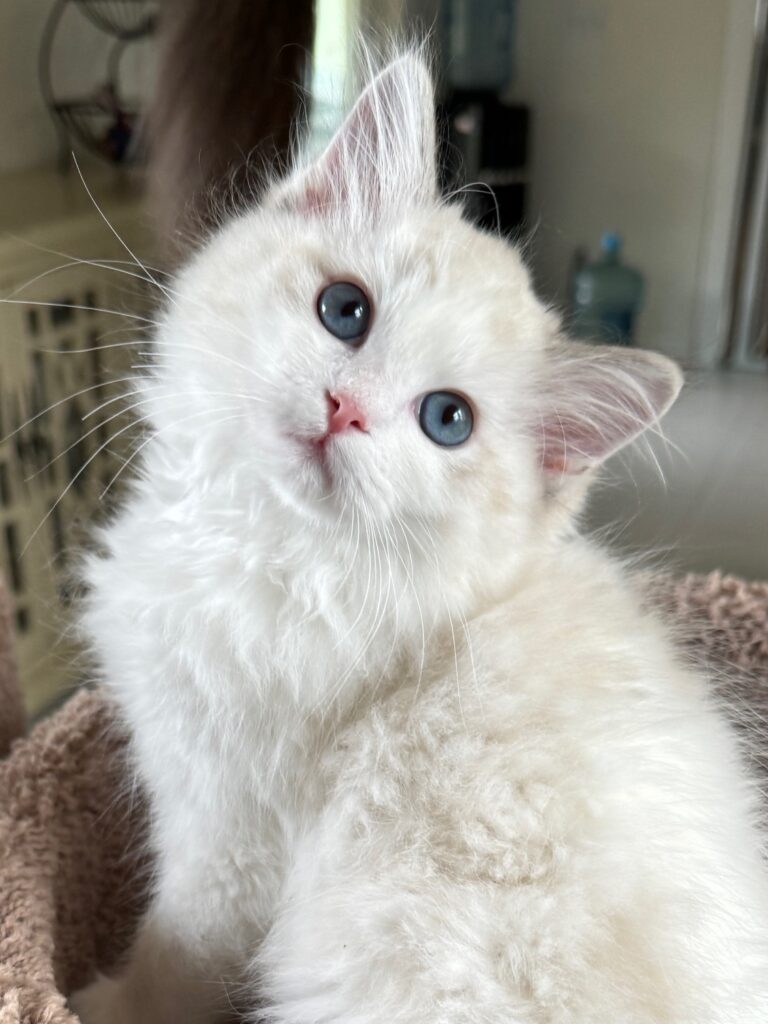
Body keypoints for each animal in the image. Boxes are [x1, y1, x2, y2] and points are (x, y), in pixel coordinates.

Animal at [70, 51, 768, 1024]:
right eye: (345, 310)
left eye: (447, 420)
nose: (345, 409)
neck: (265, 548)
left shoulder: (230, 838)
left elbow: (176, 962)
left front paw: (84, 1001)